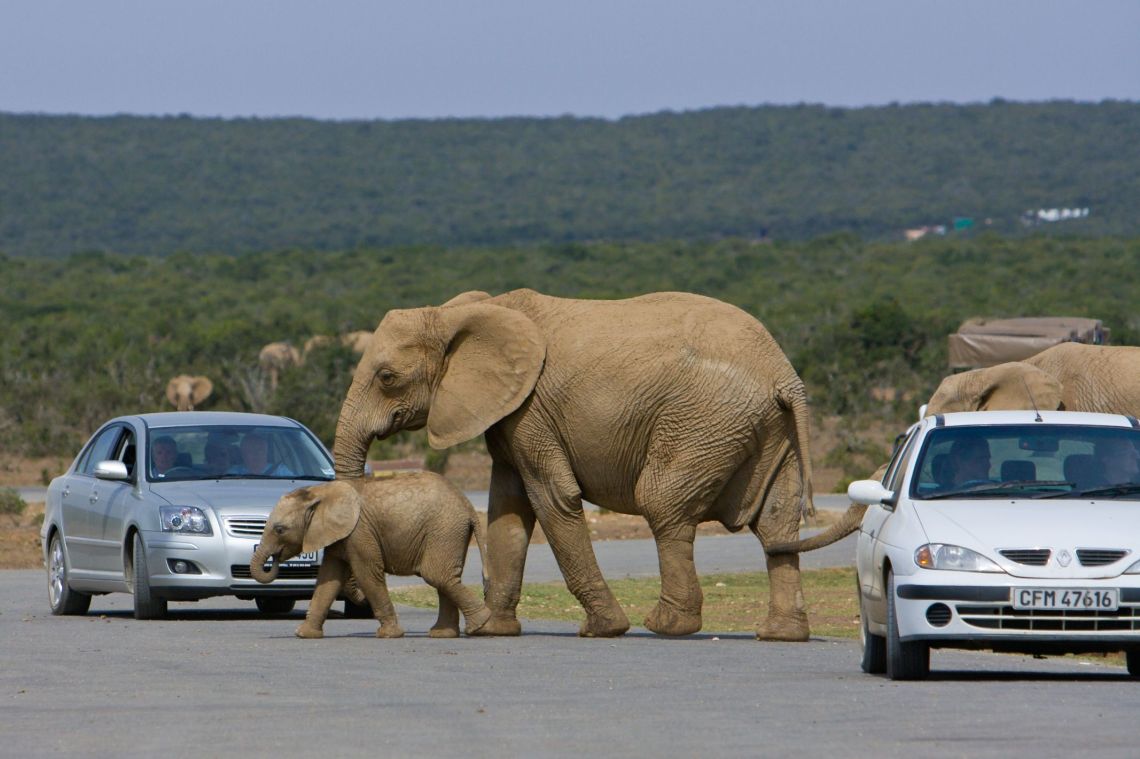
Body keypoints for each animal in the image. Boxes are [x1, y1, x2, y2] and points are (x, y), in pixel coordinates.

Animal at [250, 473, 491, 639]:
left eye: (280, 529)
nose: (274, 559)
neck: (319, 492)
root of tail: (468, 505)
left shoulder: (359, 532)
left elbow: (366, 574)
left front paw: (389, 635)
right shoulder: (339, 536)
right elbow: (329, 579)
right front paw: (303, 634)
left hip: (445, 529)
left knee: (437, 575)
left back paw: (480, 625)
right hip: (448, 532)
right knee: (444, 577)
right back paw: (443, 634)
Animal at [333, 288, 816, 640]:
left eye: (387, 378)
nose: (355, 598)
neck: (459, 311)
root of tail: (784, 374)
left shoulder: (532, 409)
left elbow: (552, 498)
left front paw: (603, 630)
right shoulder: (510, 413)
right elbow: (508, 509)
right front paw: (494, 630)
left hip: (704, 421)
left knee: (662, 505)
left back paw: (666, 626)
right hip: (770, 430)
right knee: (776, 523)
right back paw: (779, 635)